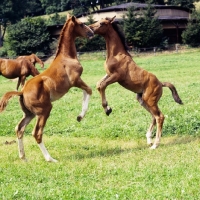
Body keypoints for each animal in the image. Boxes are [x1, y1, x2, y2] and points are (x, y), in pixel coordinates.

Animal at [0, 13, 94, 162]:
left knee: (19, 128)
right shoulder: (76, 80)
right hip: (44, 111)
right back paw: (50, 159)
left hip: (30, 113)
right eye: (81, 24)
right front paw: (81, 116)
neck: (66, 57)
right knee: (36, 133)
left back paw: (23, 157)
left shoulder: (77, 82)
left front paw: (80, 116)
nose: (92, 32)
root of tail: (22, 92)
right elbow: (89, 90)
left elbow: (86, 91)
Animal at [90, 16, 184, 148]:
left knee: (160, 116)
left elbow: (102, 85)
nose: (90, 28)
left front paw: (107, 109)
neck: (117, 54)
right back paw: (149, 139)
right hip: (143, 100)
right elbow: (99, 84)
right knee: (154, 116)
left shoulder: (116, 77)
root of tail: (161, 83)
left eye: (102, 23)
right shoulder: (108, 74)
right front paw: (107, 108)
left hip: (150, 100)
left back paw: (155, 144)